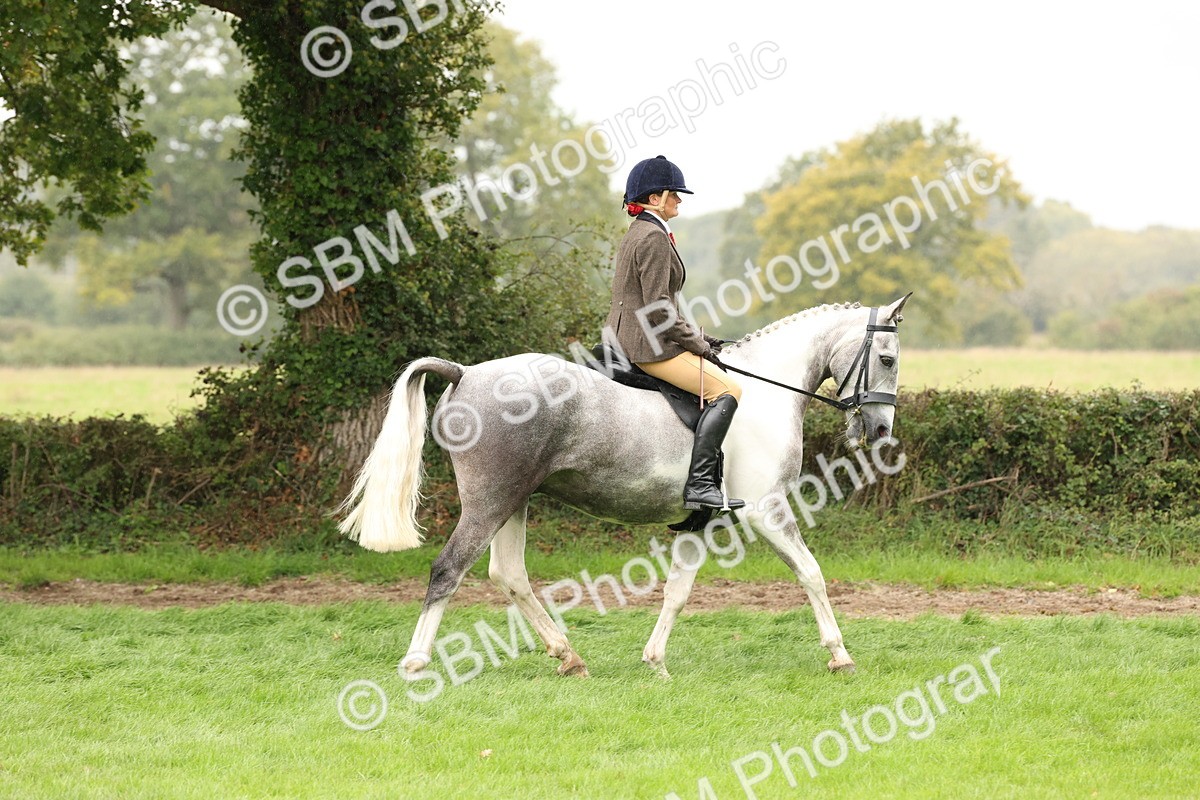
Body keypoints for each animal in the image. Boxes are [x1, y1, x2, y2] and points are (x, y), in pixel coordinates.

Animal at [338, 294, 910, 679]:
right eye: (887, 359)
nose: (882, 430)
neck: (766, 391)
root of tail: (466, 372)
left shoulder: (701, 519)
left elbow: (677, 591)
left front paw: (654, 661)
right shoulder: (766, 510)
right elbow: (812, 574)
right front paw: (840, 655)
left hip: (514, 500)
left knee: (510, 575)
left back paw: (568, 656)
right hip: (490, 500)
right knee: (448, 570)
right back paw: (416, 662)